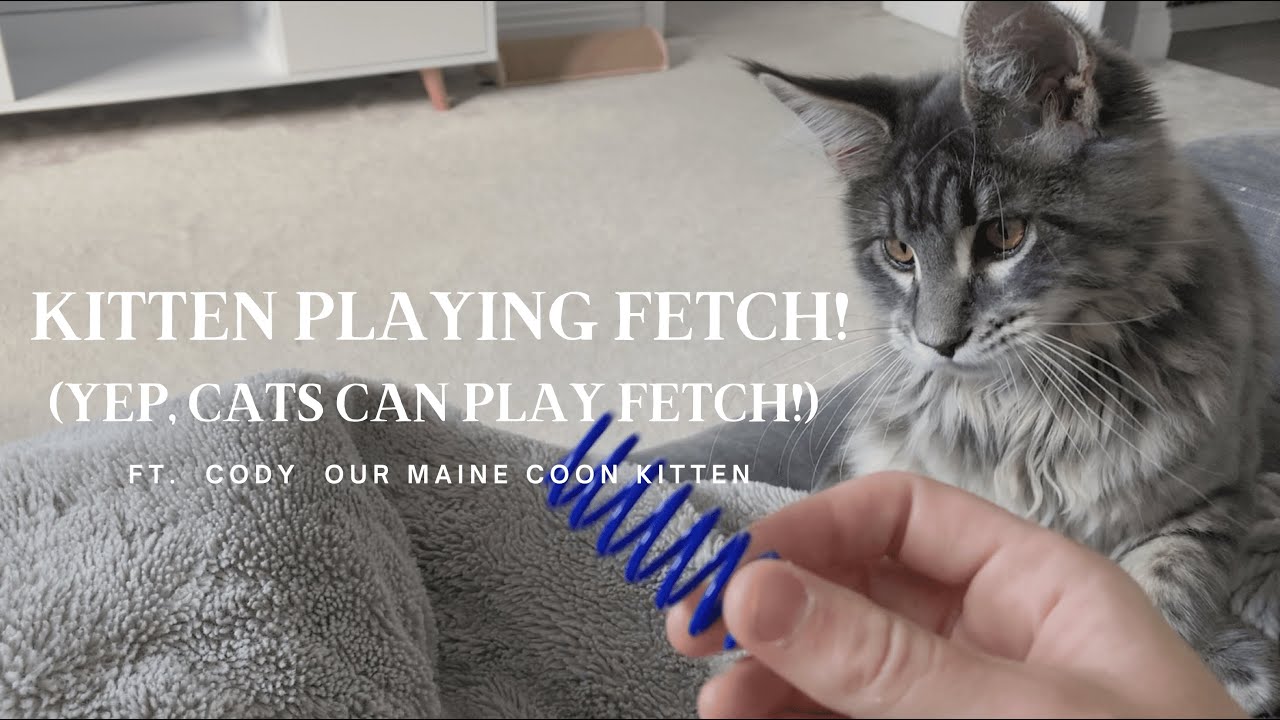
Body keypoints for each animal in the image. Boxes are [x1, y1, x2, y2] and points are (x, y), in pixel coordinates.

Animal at [747, 0, 1280, 707]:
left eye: (1005, 235)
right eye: (898, 253)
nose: (937, 341)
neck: (1025, 412)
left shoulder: (1209, 498)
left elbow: (1163, 601)